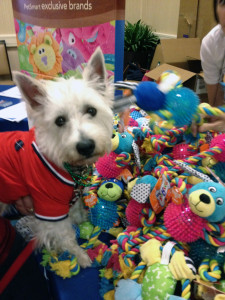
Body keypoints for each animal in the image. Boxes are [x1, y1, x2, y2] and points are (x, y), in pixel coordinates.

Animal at [0, 47, 113, 268]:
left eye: (91, 110)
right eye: (59, 121)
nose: (86, 146)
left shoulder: (71, 196)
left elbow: (77, 211)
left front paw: (82, 220)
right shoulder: (49, 208)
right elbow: (66, 235)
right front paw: (80, 256)